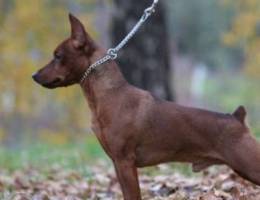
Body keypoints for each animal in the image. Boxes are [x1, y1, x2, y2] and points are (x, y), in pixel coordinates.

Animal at [32, 13, 260, 198]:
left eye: (58, 56)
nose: (34, 75)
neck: (109, 95)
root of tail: (237, 118)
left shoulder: (125, 162)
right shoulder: (117, 163)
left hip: (250, 166)